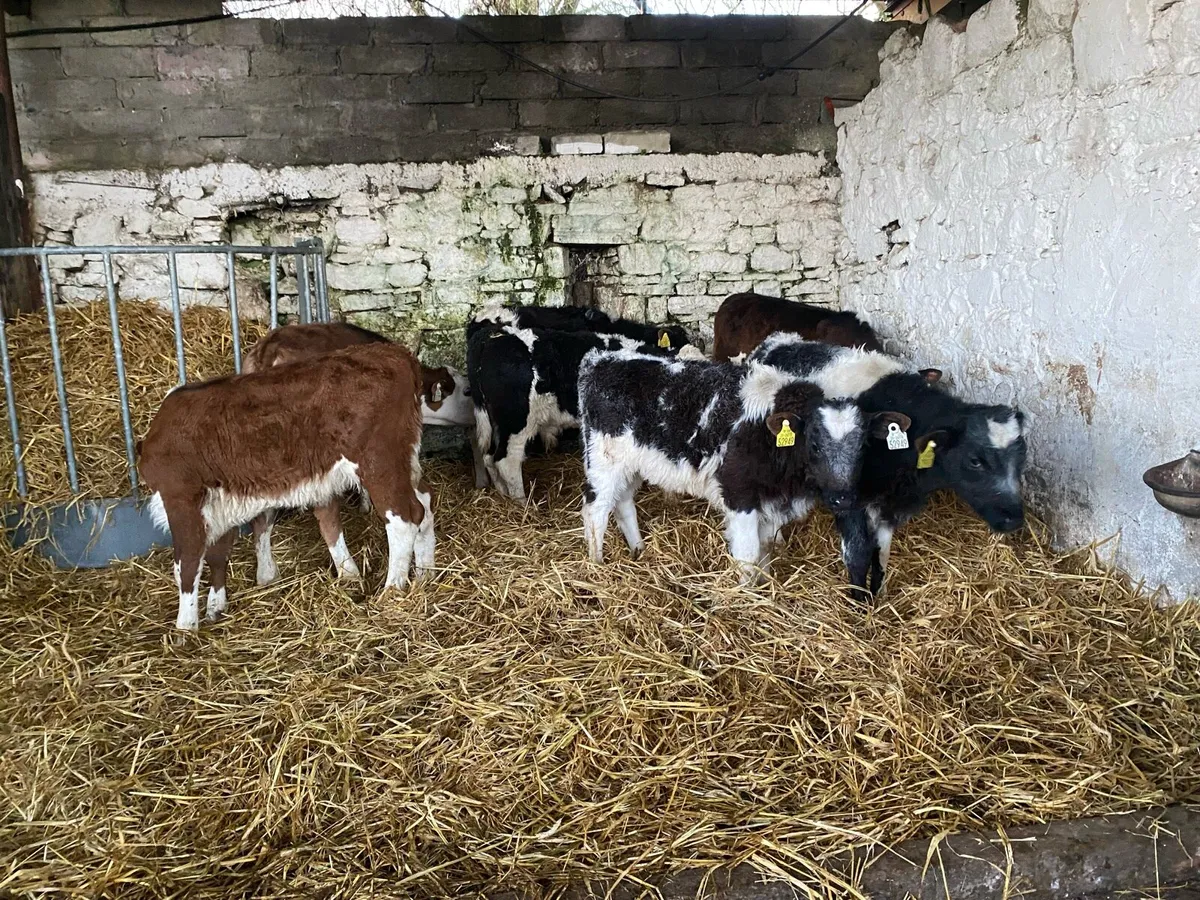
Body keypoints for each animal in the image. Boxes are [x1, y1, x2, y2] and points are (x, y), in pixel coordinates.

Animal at [140, 342, 434, 631]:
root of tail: (394, 354)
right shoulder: (223, 500)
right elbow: (220, 551)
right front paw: (218, 605)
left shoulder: (181, 497)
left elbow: (187, 563)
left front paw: (185, 629)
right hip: (405, 460)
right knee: (425, 503)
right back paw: (425, 574)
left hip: (379, 462)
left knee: (404, 518)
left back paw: (392, 591)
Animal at [242, 322, 475, 585]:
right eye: (467, 391)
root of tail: (270, 349)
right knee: (327, 513)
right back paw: (349, 572)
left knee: (261, 515)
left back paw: (267, 575)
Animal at [467, 322, 694, 501]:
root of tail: (490, 336)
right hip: (516, 421)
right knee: (507, 460)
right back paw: (522, 504)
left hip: (496, 421)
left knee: (489, 457)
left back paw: (503, 494)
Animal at [578, 348, 911, 591]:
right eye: (814, 444)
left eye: (864, 445)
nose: (843, 498)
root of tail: (601, 358)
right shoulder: (739, 495)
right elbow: (748, 556)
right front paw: (748, 599)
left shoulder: (770, 502)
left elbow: (765, 551)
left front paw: (765, 586)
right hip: (603, 460)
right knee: (596, 511)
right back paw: (596, 565)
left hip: (631, 465)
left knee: (623, 504)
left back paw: (638, 550)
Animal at [747, 333, 1027, 595]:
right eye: (974, 461)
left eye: (1022, 457)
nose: (1013, 519)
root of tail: (781, 340)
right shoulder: (849, 499)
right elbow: (858, 554)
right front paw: (859, 604)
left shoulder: (891, 505)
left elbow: (881, 555)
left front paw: (877, 596)